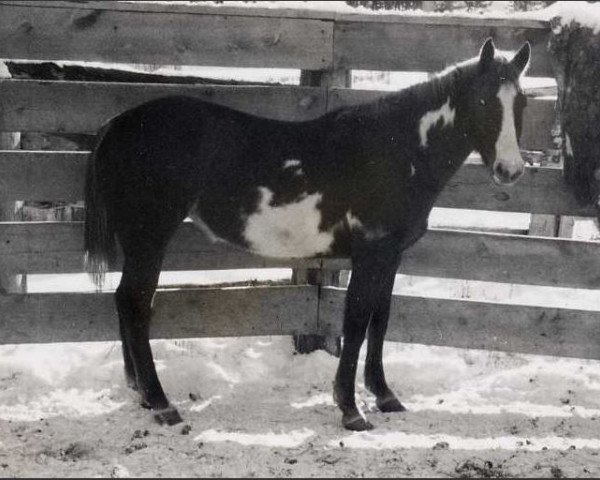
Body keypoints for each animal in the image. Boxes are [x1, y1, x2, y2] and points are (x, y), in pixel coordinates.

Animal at [83, 39, 528, 432]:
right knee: (136, 304)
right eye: (484, 102)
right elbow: (356, 321)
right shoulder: (371, 255)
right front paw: (350, 410)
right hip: (149, 237)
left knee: (125, 301)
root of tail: (118, 124)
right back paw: (162, 405)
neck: (395, 151)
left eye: (521, 103)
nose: (510, 170)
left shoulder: (391, 255)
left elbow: (380, 318)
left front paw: (385, 396)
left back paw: (141, 393)